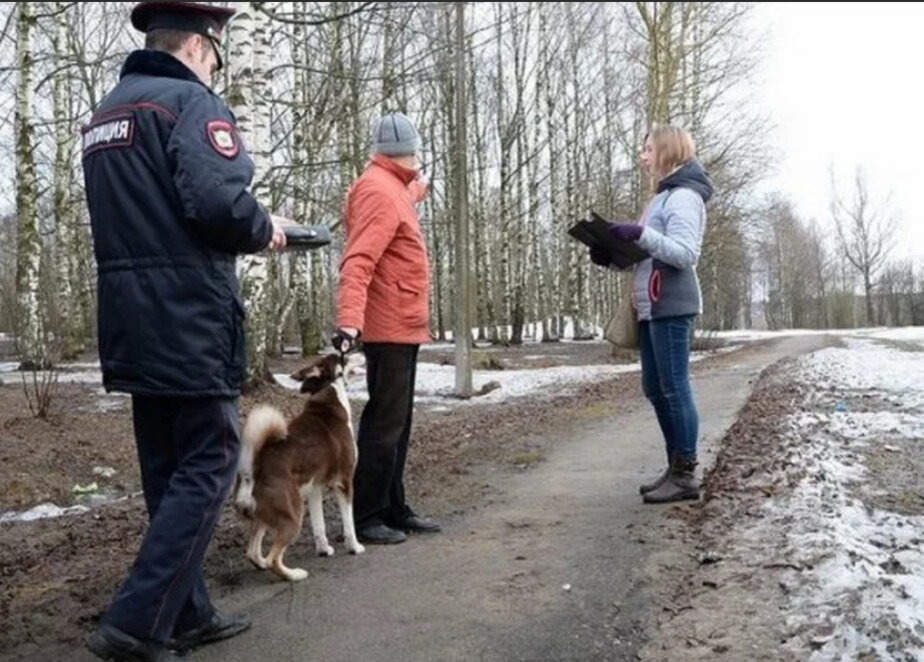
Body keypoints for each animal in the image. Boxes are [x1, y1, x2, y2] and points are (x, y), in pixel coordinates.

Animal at [233, 352, 366, 580]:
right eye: (345, 356)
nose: (362, 352)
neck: (328, 392)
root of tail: (252, 469)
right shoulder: (344, 482)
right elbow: (349, 523)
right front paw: (354, 547)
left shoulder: (315, 489)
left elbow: (319, 526)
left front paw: (324, 550)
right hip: (293, 516)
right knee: (274, 558)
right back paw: (293, 574)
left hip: (264, 513)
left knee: (253, 552)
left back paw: (262, 564)